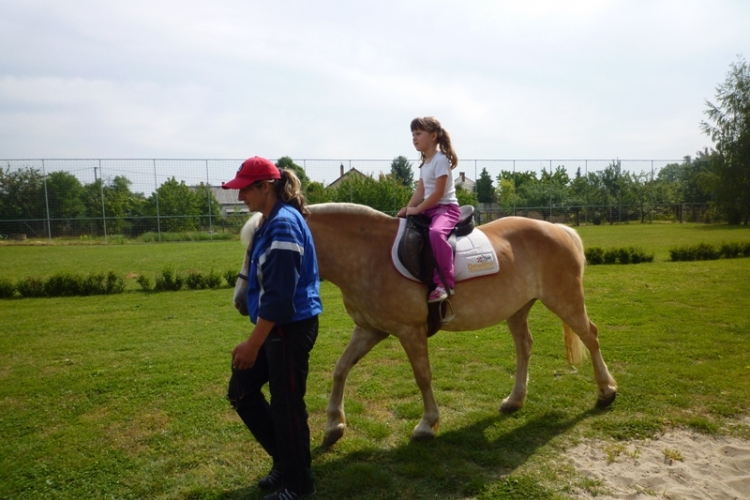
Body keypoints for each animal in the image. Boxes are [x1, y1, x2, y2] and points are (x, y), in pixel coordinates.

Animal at [235, 201, 616, 448]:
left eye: (262, 249)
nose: (241, 302)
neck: (367, 253)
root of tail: (558, 228)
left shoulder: (410, 331)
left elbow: (422, 376)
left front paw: (426, 424)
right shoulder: (369, 330)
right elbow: (341, 369)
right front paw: (333, 426)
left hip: (564, 300)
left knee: (591, 335)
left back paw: (606, 391)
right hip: (518, 308)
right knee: (525, 347)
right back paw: (515, 399)